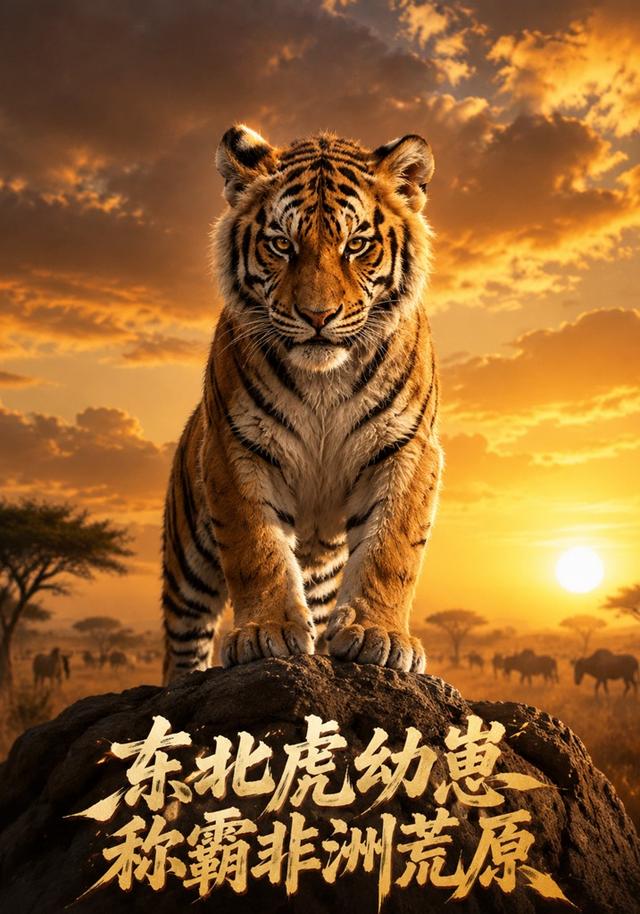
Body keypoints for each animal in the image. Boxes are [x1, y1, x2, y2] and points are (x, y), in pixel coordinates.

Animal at [162, 124, 442, 684]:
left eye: (357, 245)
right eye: (281, 245)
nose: (317, 315)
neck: (324, 381)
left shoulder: (408, 449)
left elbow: (391, 549)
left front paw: (380, 636)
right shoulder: (235, 450)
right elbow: (256, 546)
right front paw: (265, 633)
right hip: (187, 566)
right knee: (183, 643)